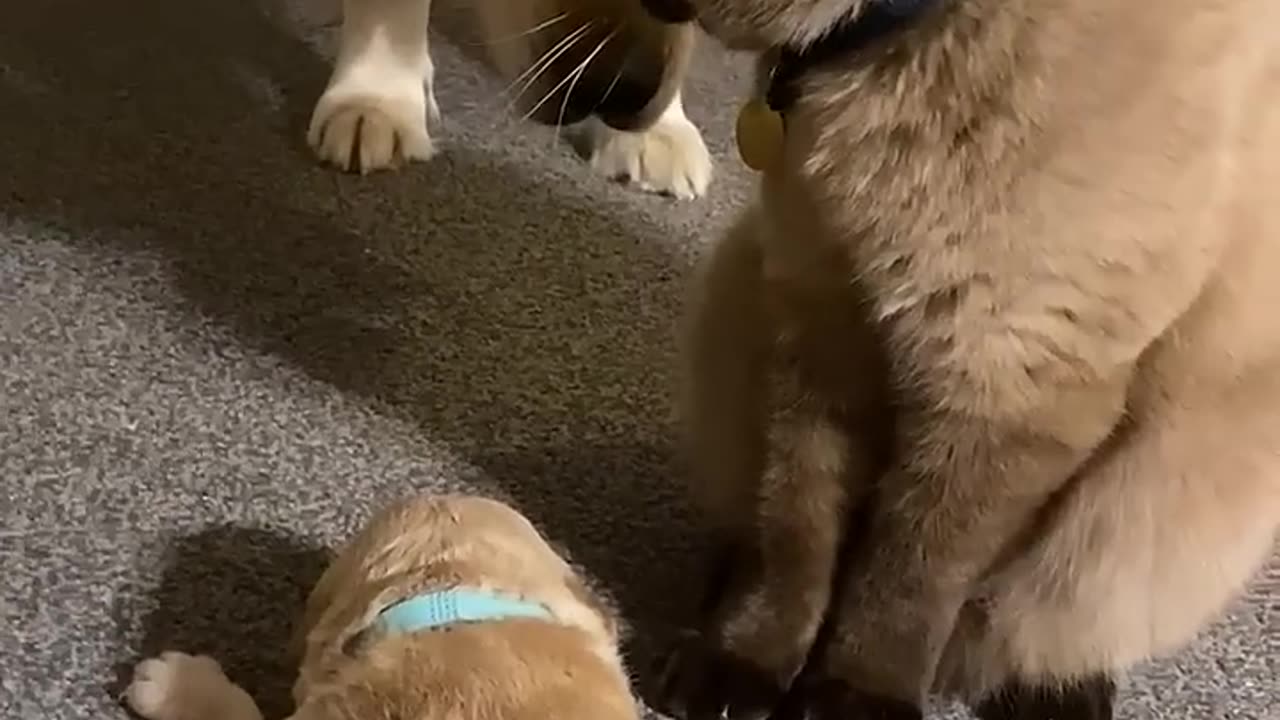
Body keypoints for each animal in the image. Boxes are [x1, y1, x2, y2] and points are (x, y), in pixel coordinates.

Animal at [660, 1, 1280, 717]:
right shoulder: (825, 321)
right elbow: (797, 528)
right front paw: (750, 660)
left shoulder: (1003, 381)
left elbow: (911, 575)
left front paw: (856, 696)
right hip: (739, 293)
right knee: (758, 523)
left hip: (1162, 504)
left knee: (1032, 628)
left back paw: (1058, 696)